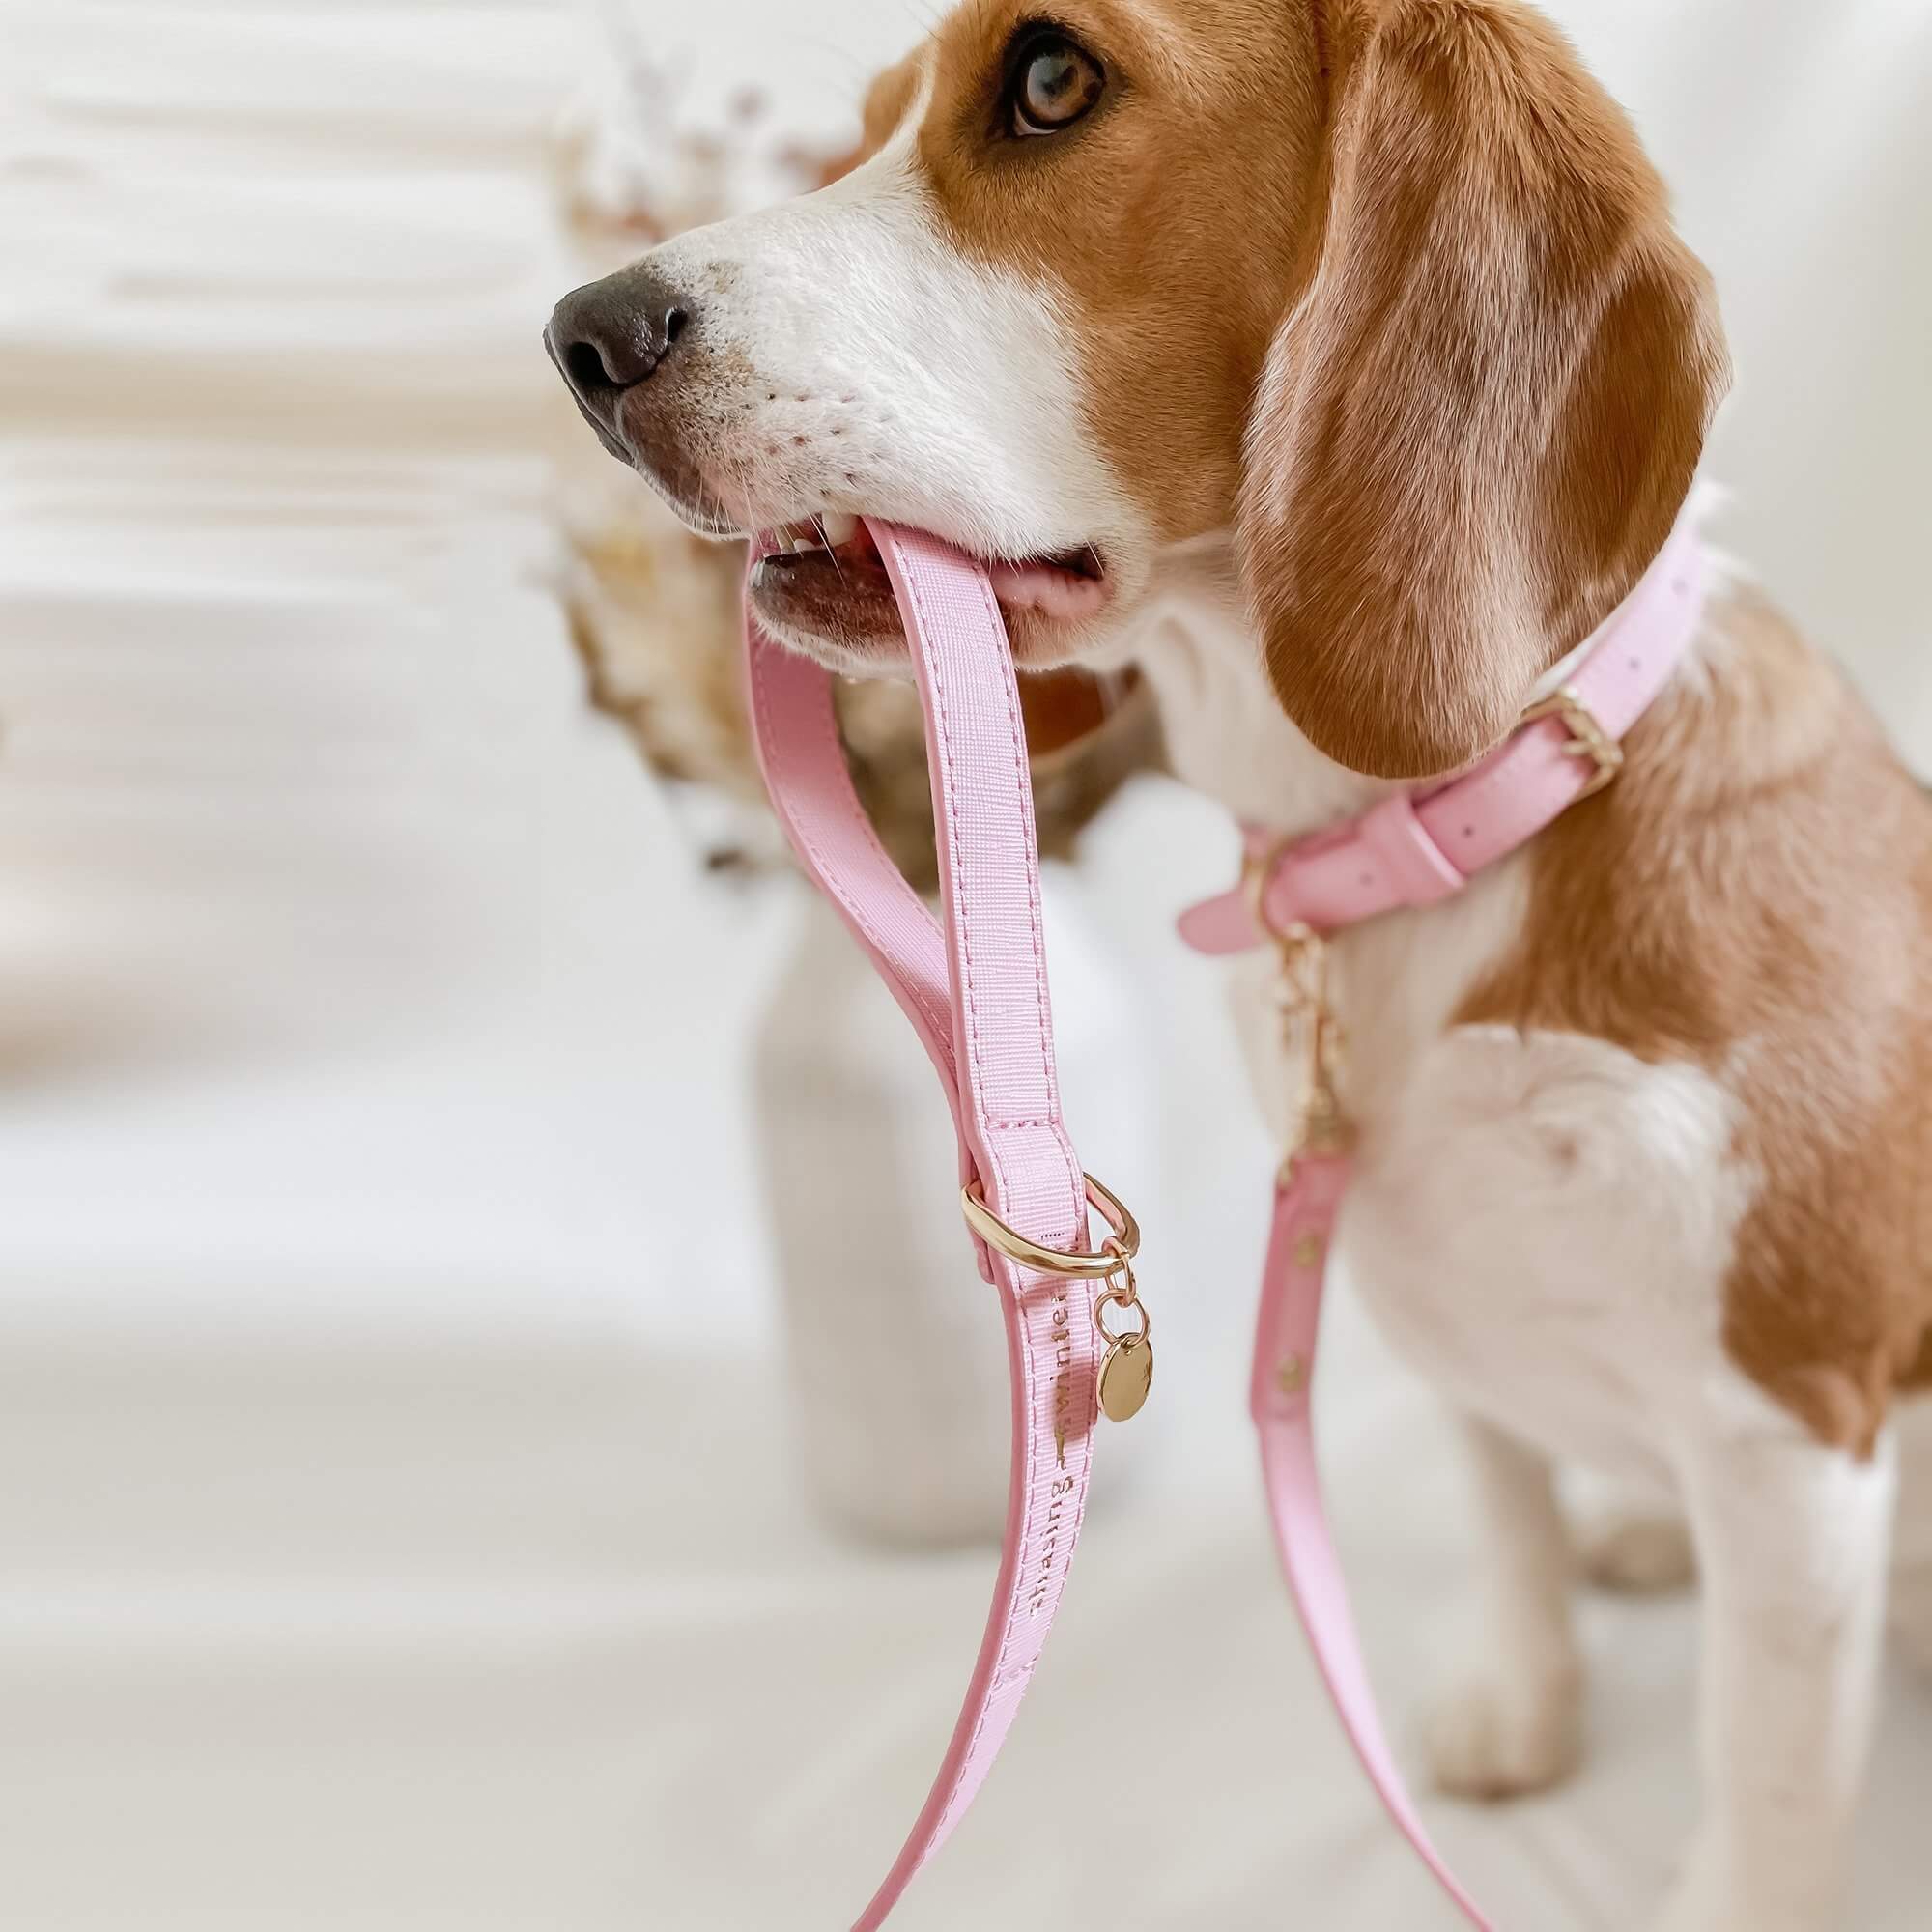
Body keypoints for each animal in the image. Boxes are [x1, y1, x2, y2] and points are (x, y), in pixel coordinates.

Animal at [545, 7, 1932, 1924]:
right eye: (872, 118)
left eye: (1051, 80)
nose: (582, 338)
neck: (1437, 846)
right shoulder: (1441, 1308)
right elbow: (1509, 1514)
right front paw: (1525, 1696)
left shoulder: (1794, 1440)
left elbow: (1767, 1780)